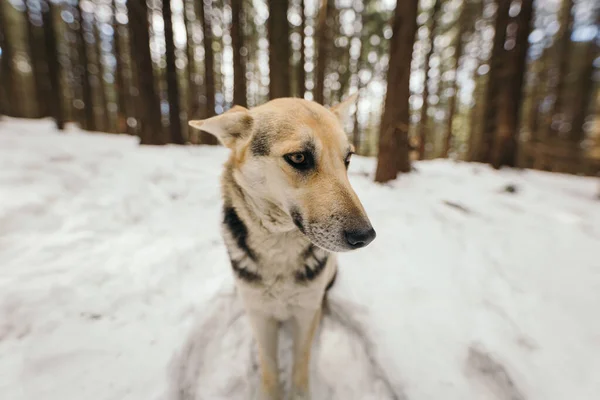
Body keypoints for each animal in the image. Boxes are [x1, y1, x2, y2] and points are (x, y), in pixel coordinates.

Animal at [189, 97, 376, 400]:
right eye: (299, 158)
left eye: (347, 159)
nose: (366, 236)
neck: (279, 245)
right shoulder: (260, 316)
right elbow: (269, 365)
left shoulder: (305, 313)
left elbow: (300, 363)